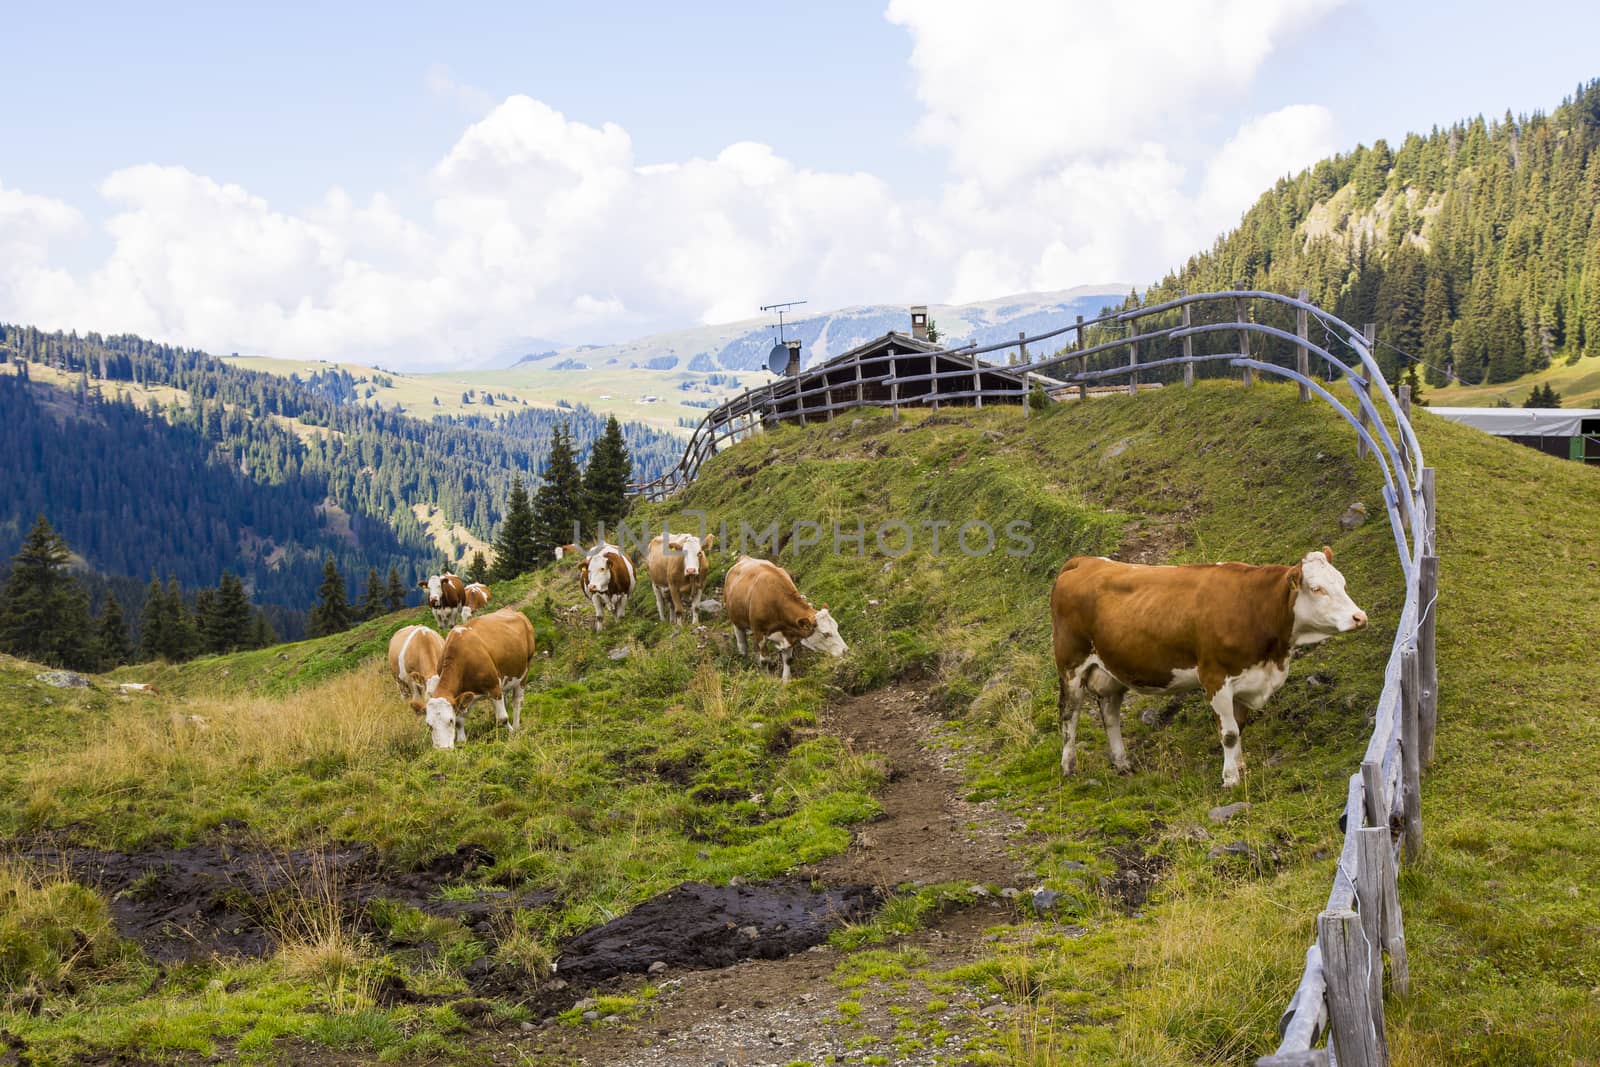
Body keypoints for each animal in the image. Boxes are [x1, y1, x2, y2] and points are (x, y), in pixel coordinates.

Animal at [412, 607, 537, 751]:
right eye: (429, 725)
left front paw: (511, 733)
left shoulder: (494, 687)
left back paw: (516, 726)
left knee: (517, 702)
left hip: (525, 670)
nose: (443, 749)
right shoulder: (462, 696)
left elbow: (503, 718)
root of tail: (511, 610)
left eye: (450, 720)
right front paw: (462, 741)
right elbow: (460, 721)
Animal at [1049, 547, 1376, 790]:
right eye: (1317, 589)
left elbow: (1239, 727)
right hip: (1071, 665)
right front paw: (1230, 779)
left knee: (1110, 714)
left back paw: (1122, 763)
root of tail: (1085, 562)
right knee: (1069, 714)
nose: (1359, 617)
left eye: (1342, 583)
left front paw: (1240, 767)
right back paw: (1069, 766)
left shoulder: (1247, 680)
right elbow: (1229, 733)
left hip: (1112, 669)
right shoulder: (1215, 678)